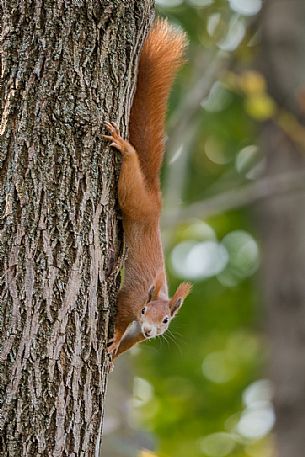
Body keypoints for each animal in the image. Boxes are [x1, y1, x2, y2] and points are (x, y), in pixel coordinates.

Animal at [103, 17, 191, 358]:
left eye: (166, 320)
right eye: (144, 311)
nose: (152, 330)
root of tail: (155, 198)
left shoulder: (138, 335)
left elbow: (129, 341)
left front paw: (115, 353)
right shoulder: (132, 297)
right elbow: (120, 316)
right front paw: (114, 337)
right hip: (133, 198)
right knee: (129, 180)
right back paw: (125, 148)